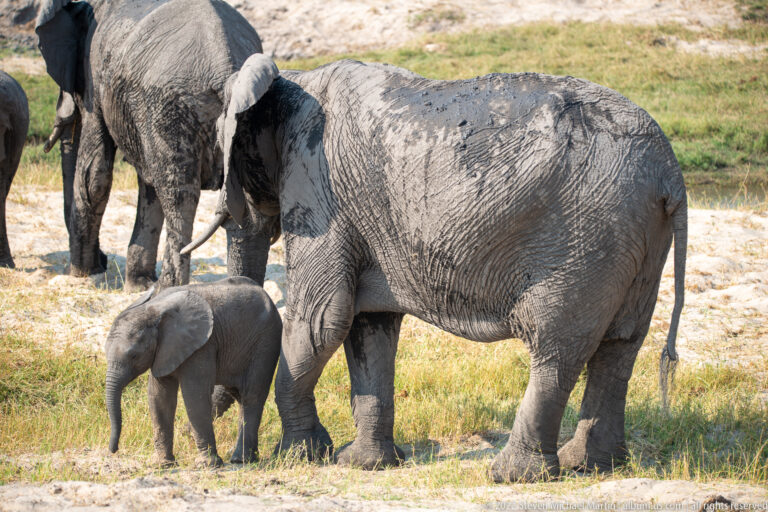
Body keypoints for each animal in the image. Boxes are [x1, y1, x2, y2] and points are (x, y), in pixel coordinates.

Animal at [35, 0, 279, 290]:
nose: (103, 259)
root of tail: (226, 69)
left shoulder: (95, 75)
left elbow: (93, 175)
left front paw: (82, 275)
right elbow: (146, 183)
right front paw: (137, 284)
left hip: (169, 108)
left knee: (179, 196)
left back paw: (166, 288)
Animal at [105, 276, 282, 467]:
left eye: (134, 355)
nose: (113, 450)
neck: (154, 309)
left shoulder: (203, 345)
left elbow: (195, 395)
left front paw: (207, 465)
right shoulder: (163, 350)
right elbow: (159, 396)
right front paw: (163, 464)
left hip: (265, 343)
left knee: (252, 396)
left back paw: (242, 460)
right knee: (239, 396)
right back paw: (243, 459)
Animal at [184, 55, 687, 481]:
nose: (233, 458)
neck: (292, 78)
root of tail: (670, 175)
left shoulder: (316, 185)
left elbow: (323, 319)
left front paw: (300, 457)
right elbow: (368, 326)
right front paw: (364, 465)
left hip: (588, 235)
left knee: (556, 346)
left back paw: (514, 475)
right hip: (635, 238)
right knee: (620, 346)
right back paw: (595, 467)